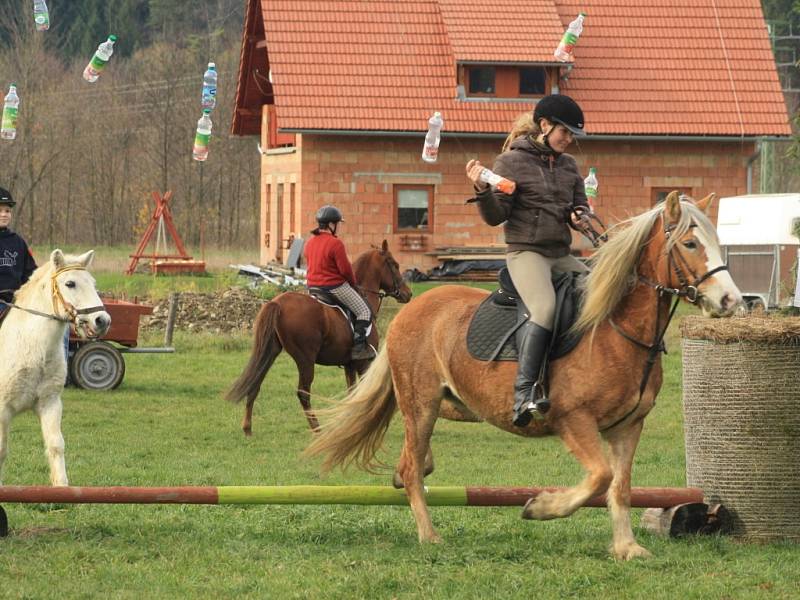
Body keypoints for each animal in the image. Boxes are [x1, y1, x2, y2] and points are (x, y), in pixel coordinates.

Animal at [0, 250, 110, 488]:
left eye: (93, 283)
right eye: (70, 283)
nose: (102, 320)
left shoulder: (50, 403)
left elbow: (56, 445)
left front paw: (62, 486)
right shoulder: (3, 409)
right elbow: (2, 450)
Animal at [225, 241, 412, 434]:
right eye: (395, 265)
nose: (408, 293)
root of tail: (277, 302)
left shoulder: (349, 364)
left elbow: (352, 392)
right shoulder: (363, 363)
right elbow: (363, 392)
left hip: (271, 351)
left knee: (255, 383)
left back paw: (247, 427)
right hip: (305, 359)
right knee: (303, 393)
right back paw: (317, 429)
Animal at [306, 195, 744, 560]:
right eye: (690, 244)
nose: (731, 301)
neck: (615, 328)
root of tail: (411, 310)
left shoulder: (628, 427)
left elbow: (619, 488)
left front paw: (627, 548)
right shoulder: (574, 420)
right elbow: (600, 478)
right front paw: (541, 507)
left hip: (452, 404)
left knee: (413, 457)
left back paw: (408, 478)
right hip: (422, 402)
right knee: (413, 465)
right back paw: (429, 534)